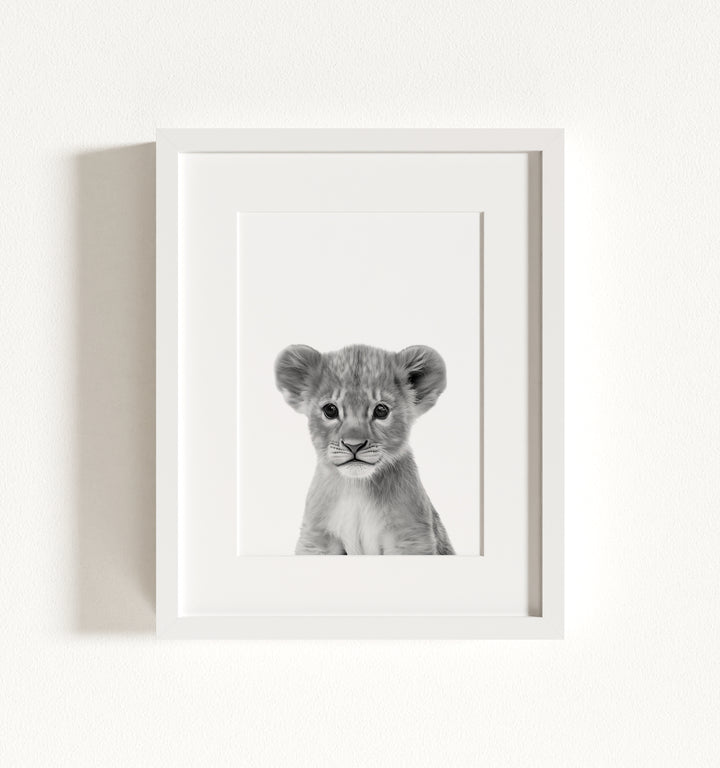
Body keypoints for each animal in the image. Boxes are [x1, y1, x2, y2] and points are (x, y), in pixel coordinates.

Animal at [275, 343, 455, 555]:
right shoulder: (317, 538)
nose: (354, 445)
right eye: (330, 410)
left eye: (381, 411)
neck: (357, 488)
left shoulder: (410, 536)